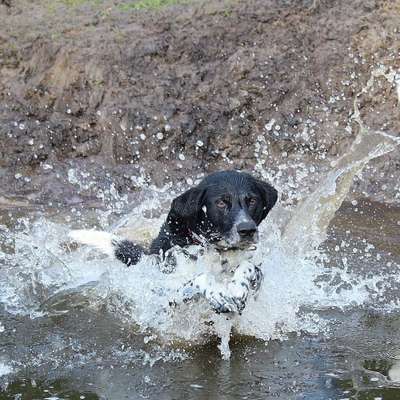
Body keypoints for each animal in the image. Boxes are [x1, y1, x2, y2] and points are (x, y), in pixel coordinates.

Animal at [69, 170, 278, 314]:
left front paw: (237, 287)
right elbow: (201, 277)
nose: (247, 230)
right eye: (221, 202)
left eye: (252, 200)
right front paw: (218, 293)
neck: (216, 250)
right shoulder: (165, 290)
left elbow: (250, 266)